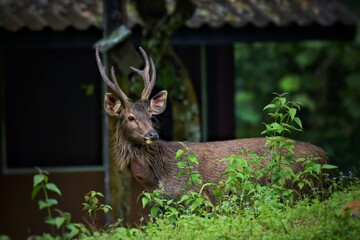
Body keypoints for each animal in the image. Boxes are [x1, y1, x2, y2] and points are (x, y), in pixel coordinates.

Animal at [95, 46, 330, 202]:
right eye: (130, 117)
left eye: (151, 116)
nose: (152, 134)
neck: (157, 179)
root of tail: (323, 156)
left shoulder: (196, 196)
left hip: (299, 189)